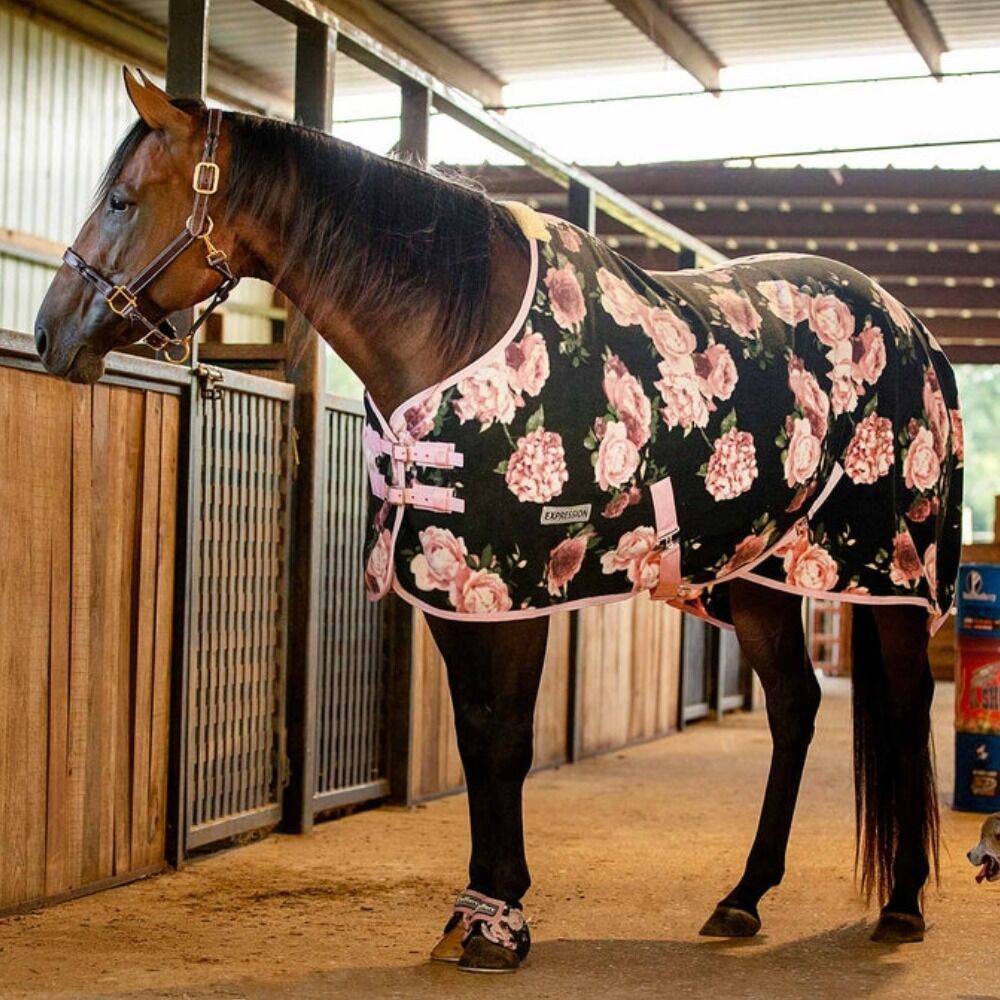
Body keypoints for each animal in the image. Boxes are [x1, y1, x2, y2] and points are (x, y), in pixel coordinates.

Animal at [34, 69, 962, 974]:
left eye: (121, 199)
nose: (49, 333)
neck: (457, 326)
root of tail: (915, 331)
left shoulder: (517, 586)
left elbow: (508, 738)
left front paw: (498, 922)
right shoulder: (457, 589)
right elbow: (478, 735)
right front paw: (478, 910)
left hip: (893, 574)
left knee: (908, 706)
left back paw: (905, 903)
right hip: (764, 573)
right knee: (796, 708)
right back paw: (744, 896)